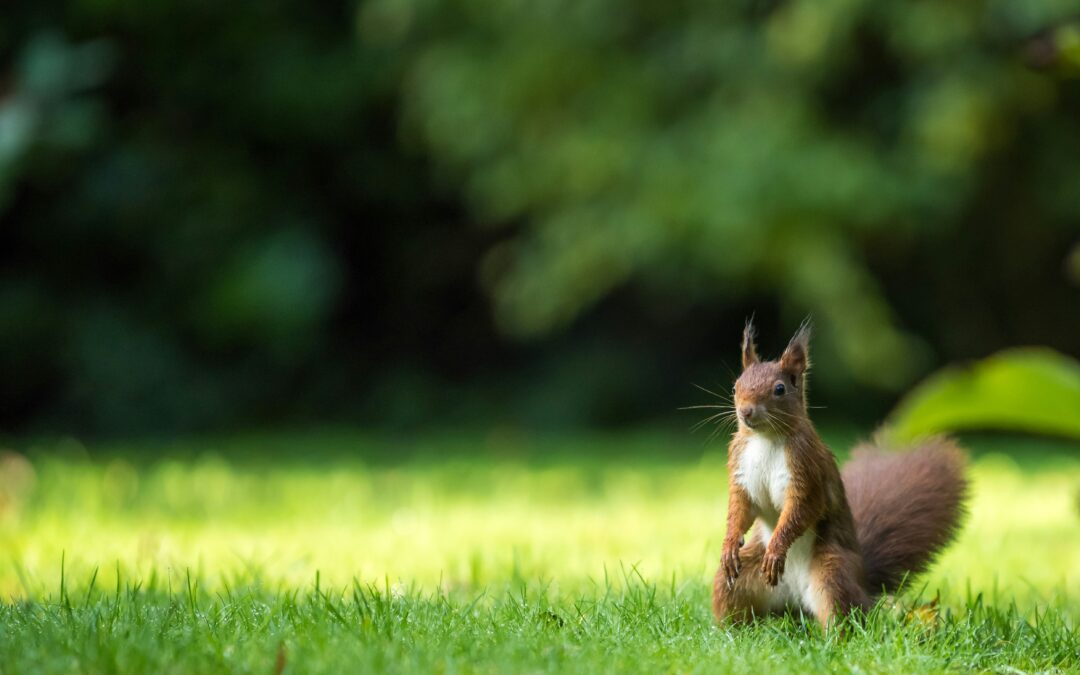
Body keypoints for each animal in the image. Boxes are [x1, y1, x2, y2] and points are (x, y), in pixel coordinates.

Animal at [712, 319, 968, 628]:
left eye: (780, 389)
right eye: (736, 386)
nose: (746, 411)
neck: (766, 439)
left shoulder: (807, 468)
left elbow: (802, 508)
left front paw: (776, 549)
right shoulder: (740, 467)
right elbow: (740, 508)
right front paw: (729, 545)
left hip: (832, 573)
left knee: (845, 612)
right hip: (740, 580)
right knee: (731, 595)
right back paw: (731, 630)